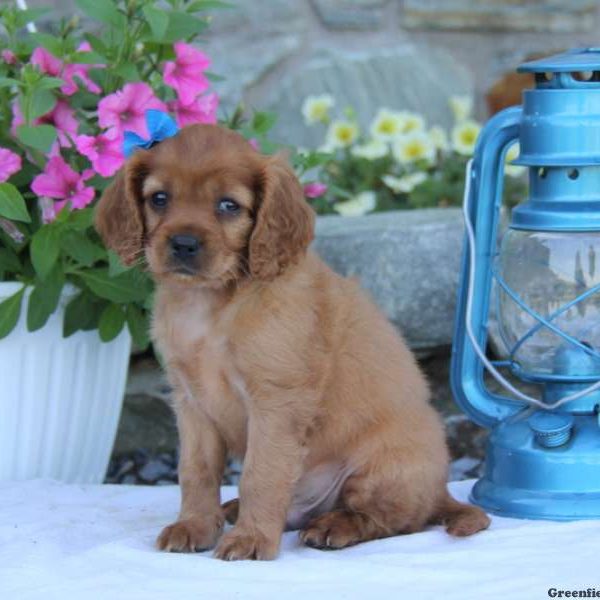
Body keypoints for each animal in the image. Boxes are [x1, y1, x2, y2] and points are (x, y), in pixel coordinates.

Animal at [94, 124, 488, 560]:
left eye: (228, 205)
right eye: (159, 198)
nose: (183, 244)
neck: (212, 305)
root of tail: (440, 490)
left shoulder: (276, 401)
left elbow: (260, 474)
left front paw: (250, 540)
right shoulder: (191, 402)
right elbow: (196, 471)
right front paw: (195, 526)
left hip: (383, 468)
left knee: (391, 520)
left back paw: (332, 526)